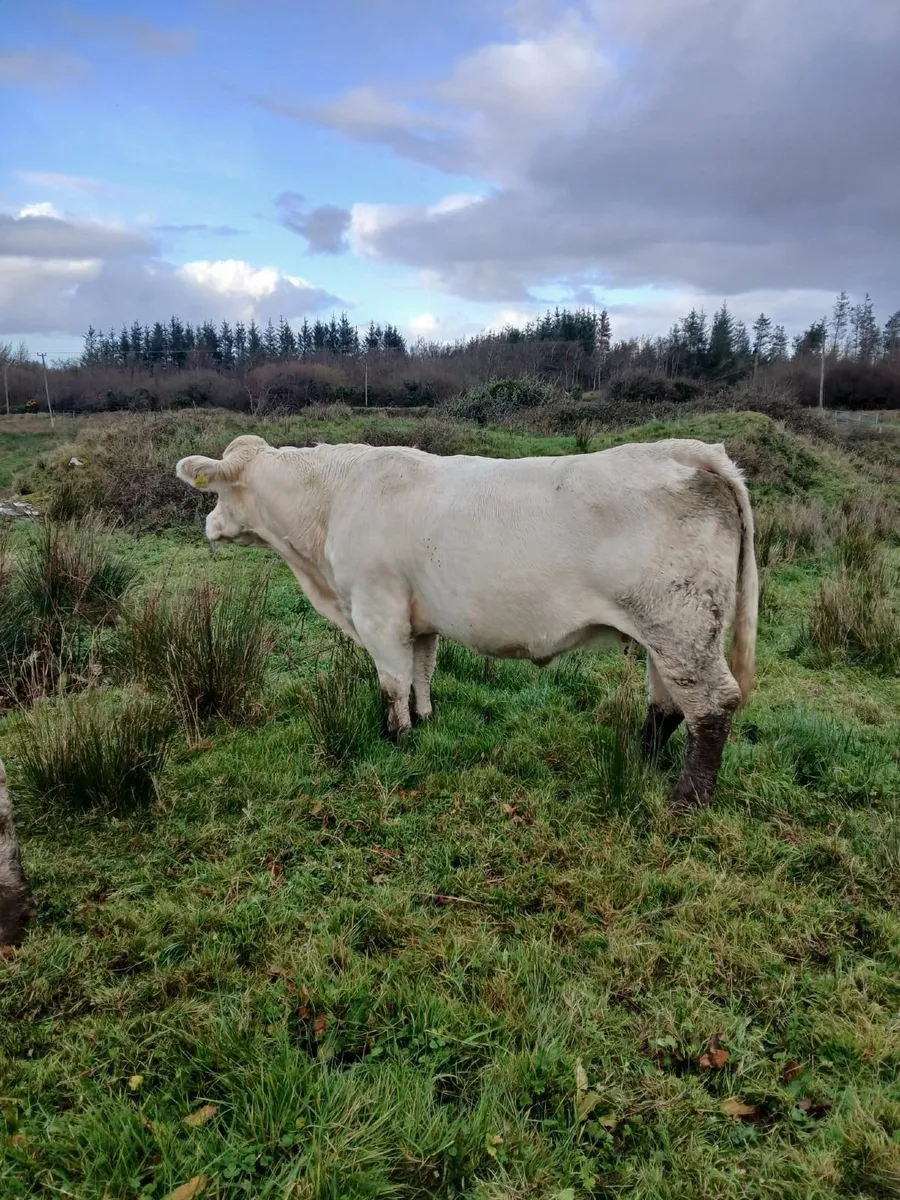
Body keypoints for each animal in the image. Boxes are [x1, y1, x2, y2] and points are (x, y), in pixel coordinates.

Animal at [176, 434, 758, 811]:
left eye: (218, 491)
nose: (208, 525)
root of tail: (689, 449)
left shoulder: (377, 608)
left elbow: (392, 680)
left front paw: (395, 736)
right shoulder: (420, 617)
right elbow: (422, 670)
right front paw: (425, 720)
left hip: (681, 626)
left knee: (712, 704)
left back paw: (687, 799)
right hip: (666, 632)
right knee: (667, 705)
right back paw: (640, 760)